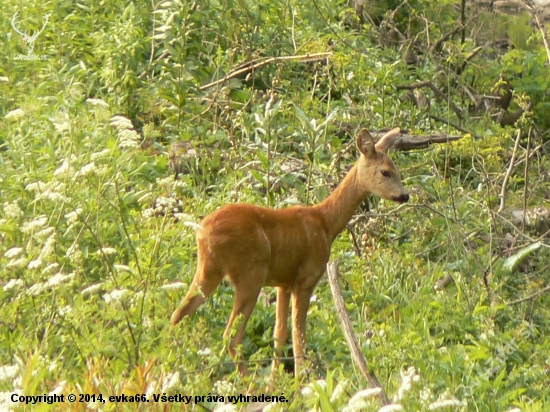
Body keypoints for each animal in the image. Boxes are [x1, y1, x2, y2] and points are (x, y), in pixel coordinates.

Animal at [172, 128, 410, 376]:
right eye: (385, 172)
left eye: (396, 170)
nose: (405, 195)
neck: (326, 223)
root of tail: (203, 230)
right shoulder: (306, 278)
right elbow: (298, 337)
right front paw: (300, 379)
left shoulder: (283, 283)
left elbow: (279, 334)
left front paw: (276, 380)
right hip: (250, 275)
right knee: (231, 335)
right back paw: (248, 383)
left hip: (209, 269)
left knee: (178, 314)